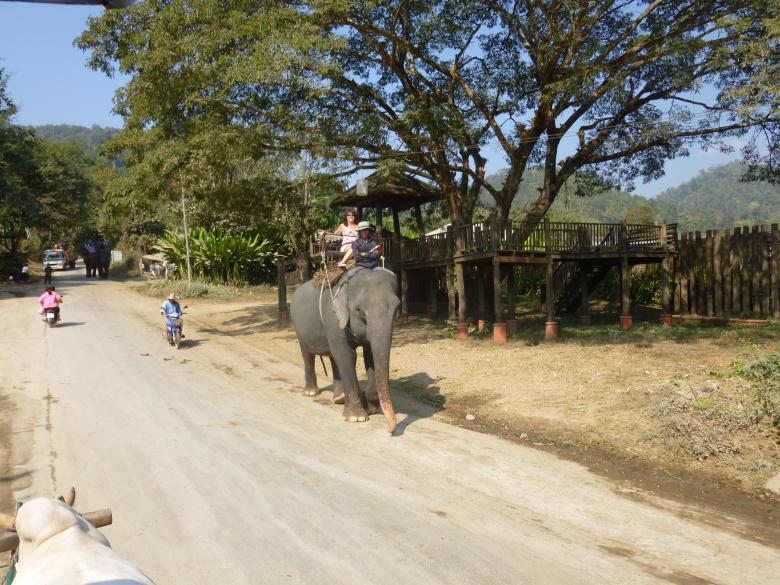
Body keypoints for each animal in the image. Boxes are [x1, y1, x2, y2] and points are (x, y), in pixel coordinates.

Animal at [290, 267, 400, 434]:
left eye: (396, 308)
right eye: (359, 309)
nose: (390, 431)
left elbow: (369, 355)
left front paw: (369, 406)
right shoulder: (334, 320)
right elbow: (347, 355)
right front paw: (357, 417)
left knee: (333, 356)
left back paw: (339, 398)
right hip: (299, 327)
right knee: (308, 355)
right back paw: (311, 392)